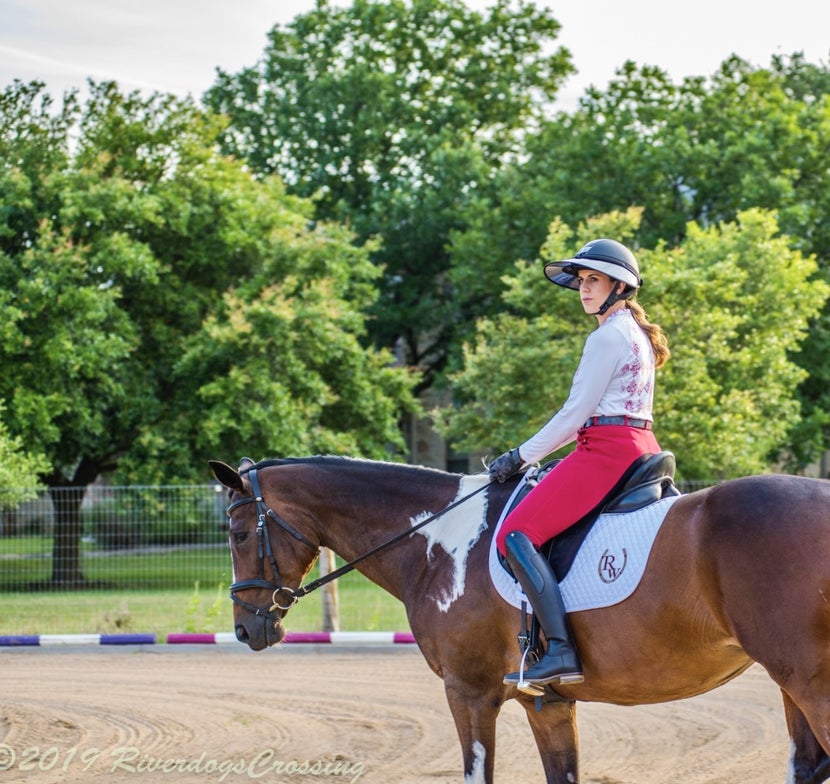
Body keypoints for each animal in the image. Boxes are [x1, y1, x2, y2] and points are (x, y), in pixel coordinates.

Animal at [210, 456, 830, 780]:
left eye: (238, 533)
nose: (246, 628)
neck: (438, 540)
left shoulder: (469, 693)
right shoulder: (546, 703)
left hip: (811, 684)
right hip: (790, 687)